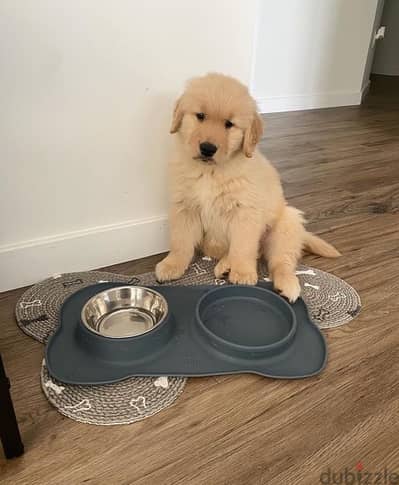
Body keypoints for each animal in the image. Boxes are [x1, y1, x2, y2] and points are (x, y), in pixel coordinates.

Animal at [156, 72, 340, 300]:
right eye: (200, 116)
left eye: (229, 124)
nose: (207, 148)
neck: (211, 172)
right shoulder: (184, 207)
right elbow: (180, 242)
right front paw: (172, 265)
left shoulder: (245, 213)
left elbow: (243, 247)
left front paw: (243, 273)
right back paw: (225, 266)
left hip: (286, 224)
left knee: (280, 261)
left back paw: (285, 283)